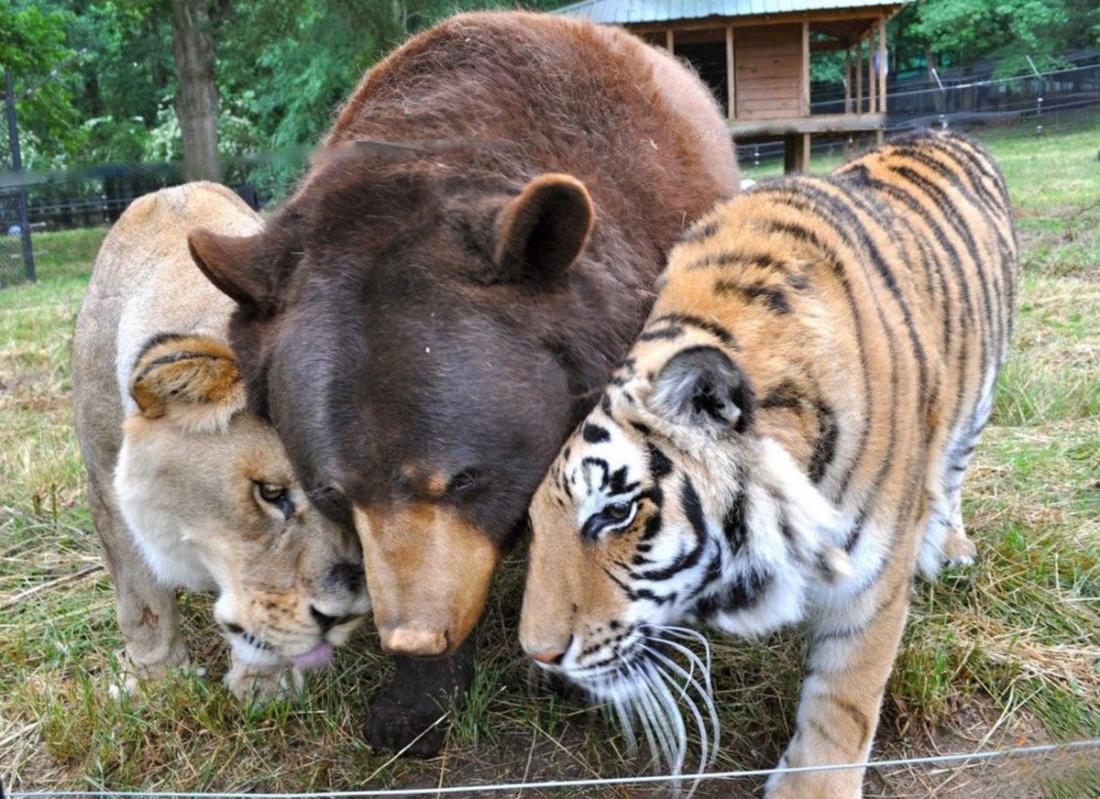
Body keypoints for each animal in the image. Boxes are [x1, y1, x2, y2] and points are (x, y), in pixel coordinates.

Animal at [75, 182, 374, 699]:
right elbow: (141, 599)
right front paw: (155, 681)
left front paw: (264, 685)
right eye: (270, 493)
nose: (345, 616)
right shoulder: (105, 487)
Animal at [519, 128, 1016, 796]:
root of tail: (944, 130)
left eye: (615, 513)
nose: (538, 655)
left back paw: (953, 547)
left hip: (978, 401)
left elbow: (844, 698)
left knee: (954, 472)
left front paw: (813, 787)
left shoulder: (873, 577)